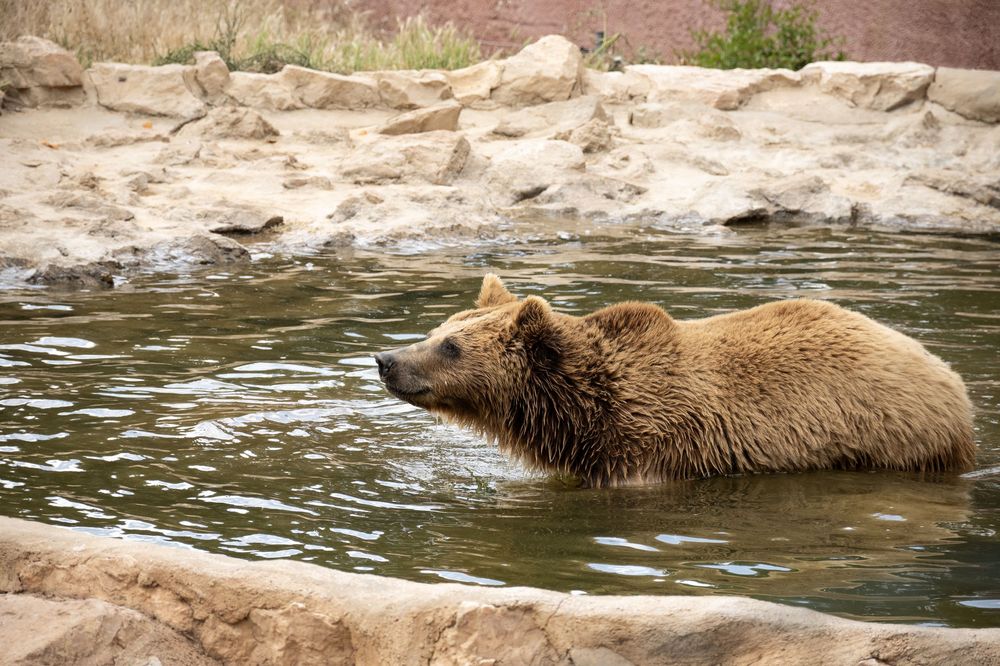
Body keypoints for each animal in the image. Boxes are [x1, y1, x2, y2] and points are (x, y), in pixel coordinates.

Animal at [374, 274, 976, 488]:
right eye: (438, 330)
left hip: (891, 435)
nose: (386, 358)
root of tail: (950, 374)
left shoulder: (655, 449)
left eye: (450, 347)